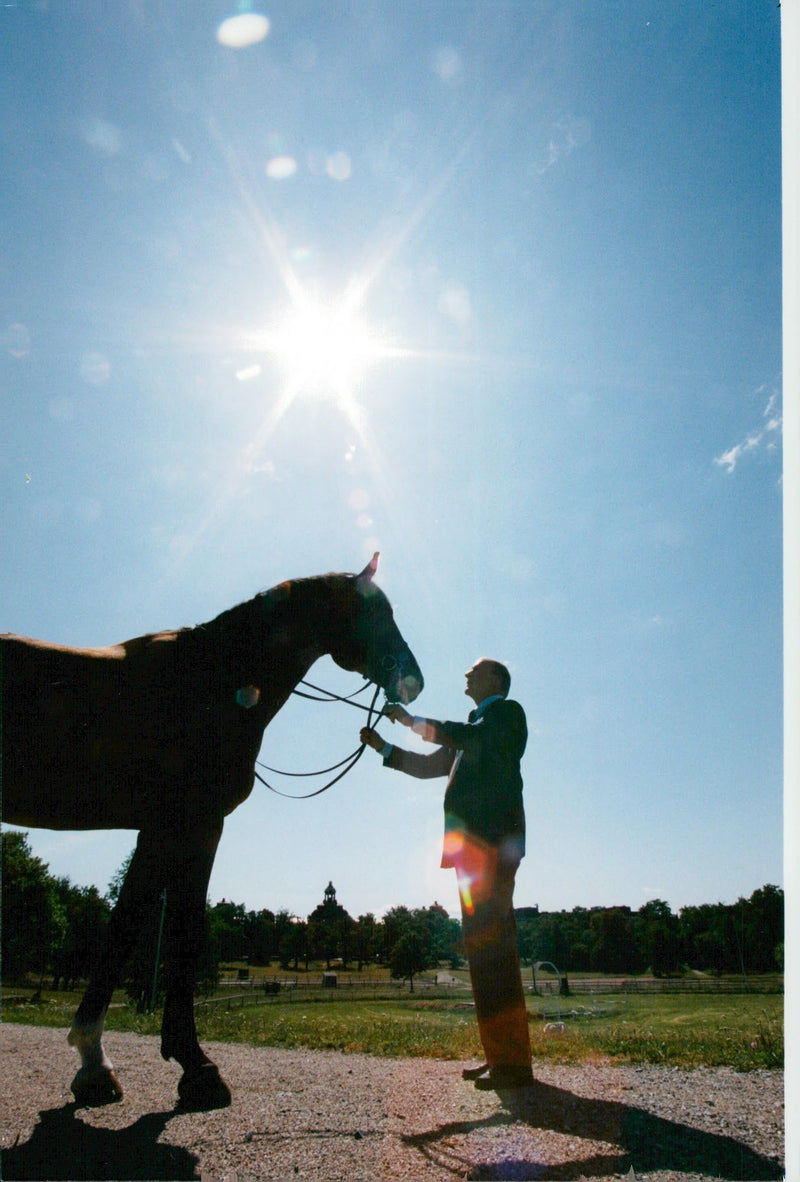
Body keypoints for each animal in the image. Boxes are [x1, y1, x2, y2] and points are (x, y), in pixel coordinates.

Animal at [1, 553, 425, 1106]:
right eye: (378, 613)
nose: (415, 680)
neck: (210, 680)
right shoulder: (193, 826)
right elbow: (179, 932)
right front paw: (194, 1065)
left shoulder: (160, 832)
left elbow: (127, 926)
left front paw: (95, 1061)